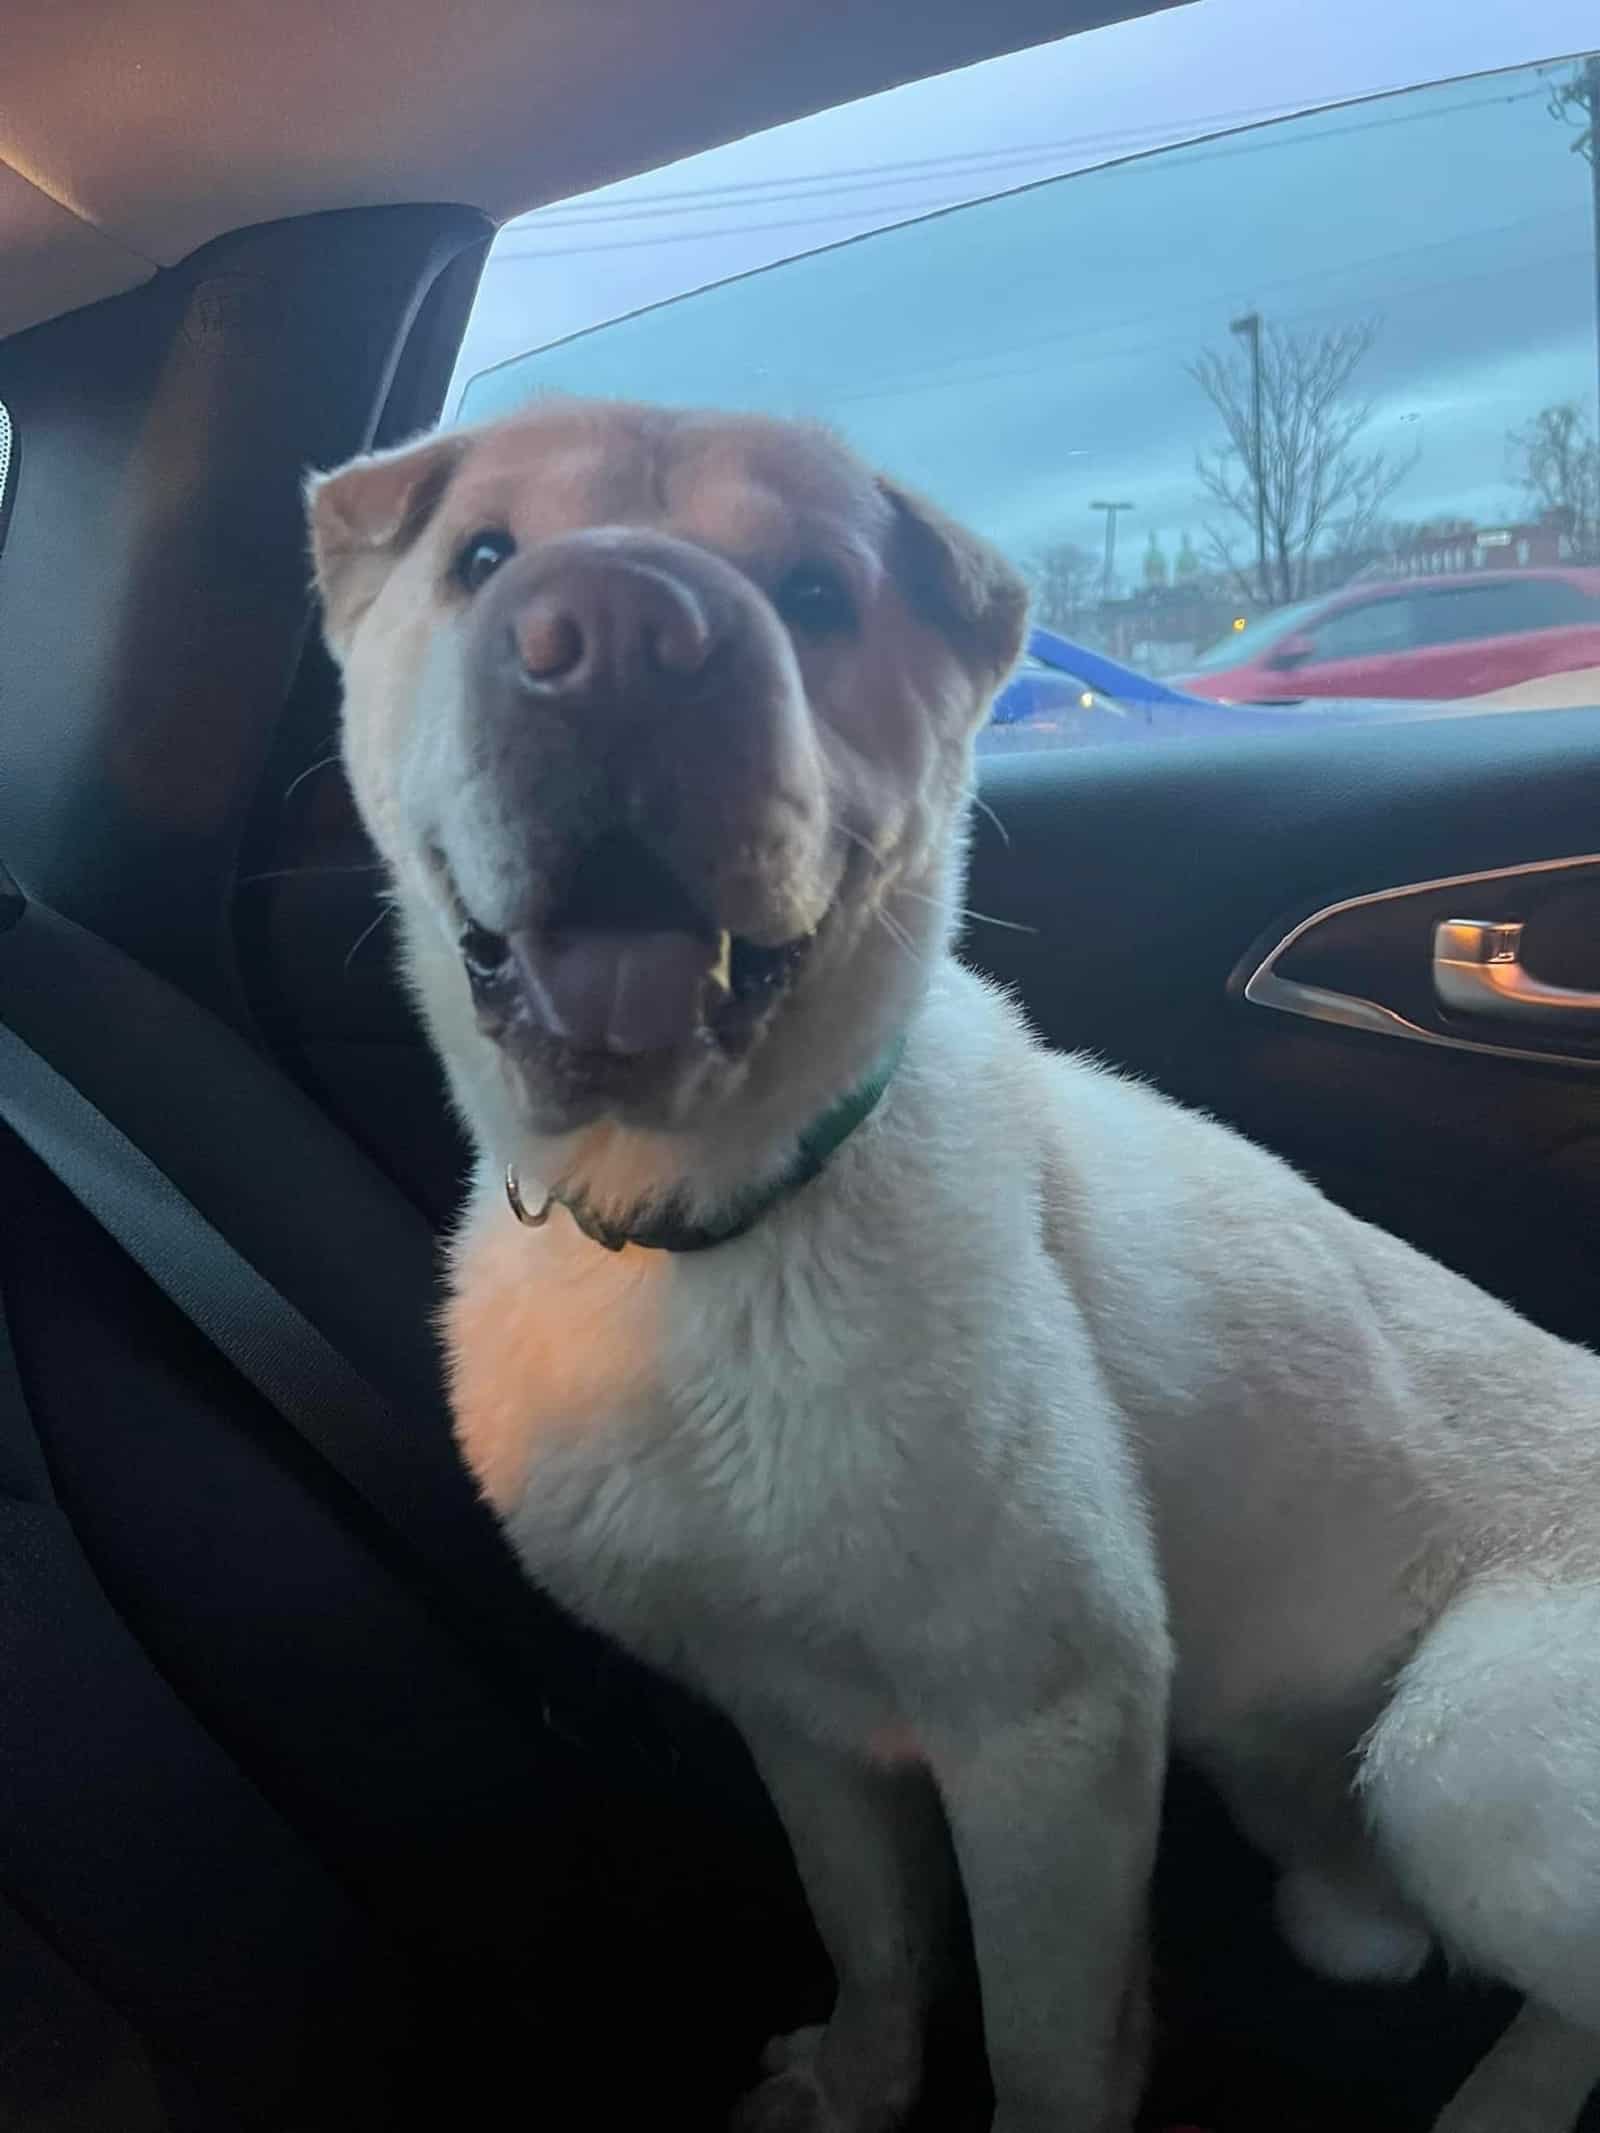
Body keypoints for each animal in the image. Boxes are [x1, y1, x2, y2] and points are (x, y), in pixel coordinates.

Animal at [307, 403, 1600, 2133]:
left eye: (814, 589)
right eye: (483, 556)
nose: (624, 637)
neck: (710, 1230)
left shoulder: (1048, 1730)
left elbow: (1044, 2039)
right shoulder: (796, 1714)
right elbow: (868, 1928)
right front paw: (855, 2083)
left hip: (1463, 1748)